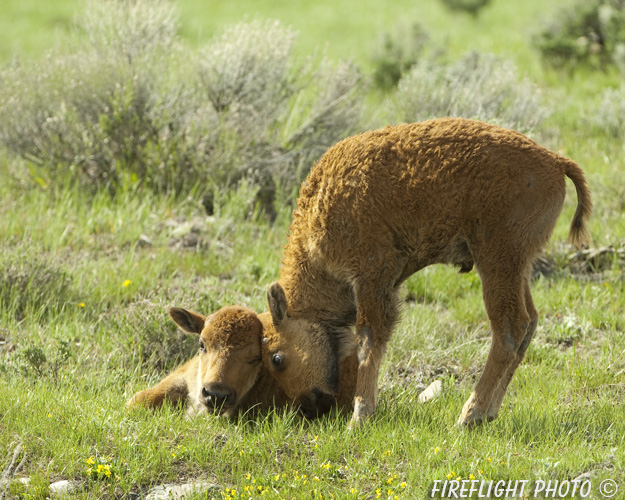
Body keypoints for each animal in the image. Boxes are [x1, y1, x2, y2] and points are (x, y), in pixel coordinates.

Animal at [262, 116, 588, 426]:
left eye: (277, 358)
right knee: (528, 324)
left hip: (497, 260)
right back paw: (488, 412)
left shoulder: (371, 276)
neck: (319, 205)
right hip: (518, 266)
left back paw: (469, 416)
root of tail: (556, 161)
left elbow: (367, 342)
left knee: (510, 328)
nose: (307, 409)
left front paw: (360, 416)